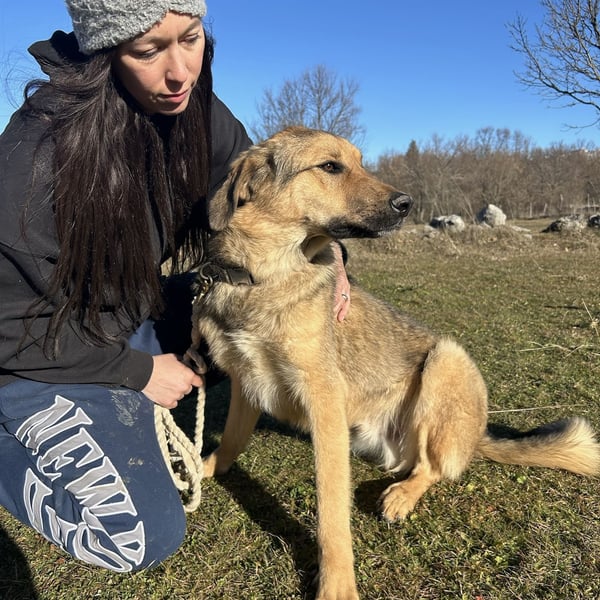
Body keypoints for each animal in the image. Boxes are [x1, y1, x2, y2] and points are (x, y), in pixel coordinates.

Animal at [191, 127, 600, 600]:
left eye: (360, 163)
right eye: (330, 166)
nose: (406, 204)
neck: (265, 276)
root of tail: (476, 436)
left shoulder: (324, 403)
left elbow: (332, 512)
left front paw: (338, 584)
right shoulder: (247, 381)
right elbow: (230, 441)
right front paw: (203, 468)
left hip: (446, 359)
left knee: (432, 467)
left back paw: (403, 494)